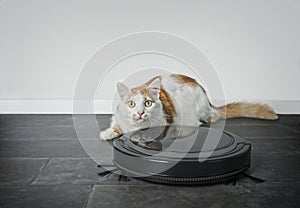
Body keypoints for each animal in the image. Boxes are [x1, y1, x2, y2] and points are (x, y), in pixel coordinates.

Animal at [99, 73, 278, 140]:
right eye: (131, 104)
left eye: (148, 103)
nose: (140, 112)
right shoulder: (119, 119)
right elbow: (116, 126)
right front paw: (107, 133)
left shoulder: (165, 119)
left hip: (188, 102)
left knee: (203, 120)